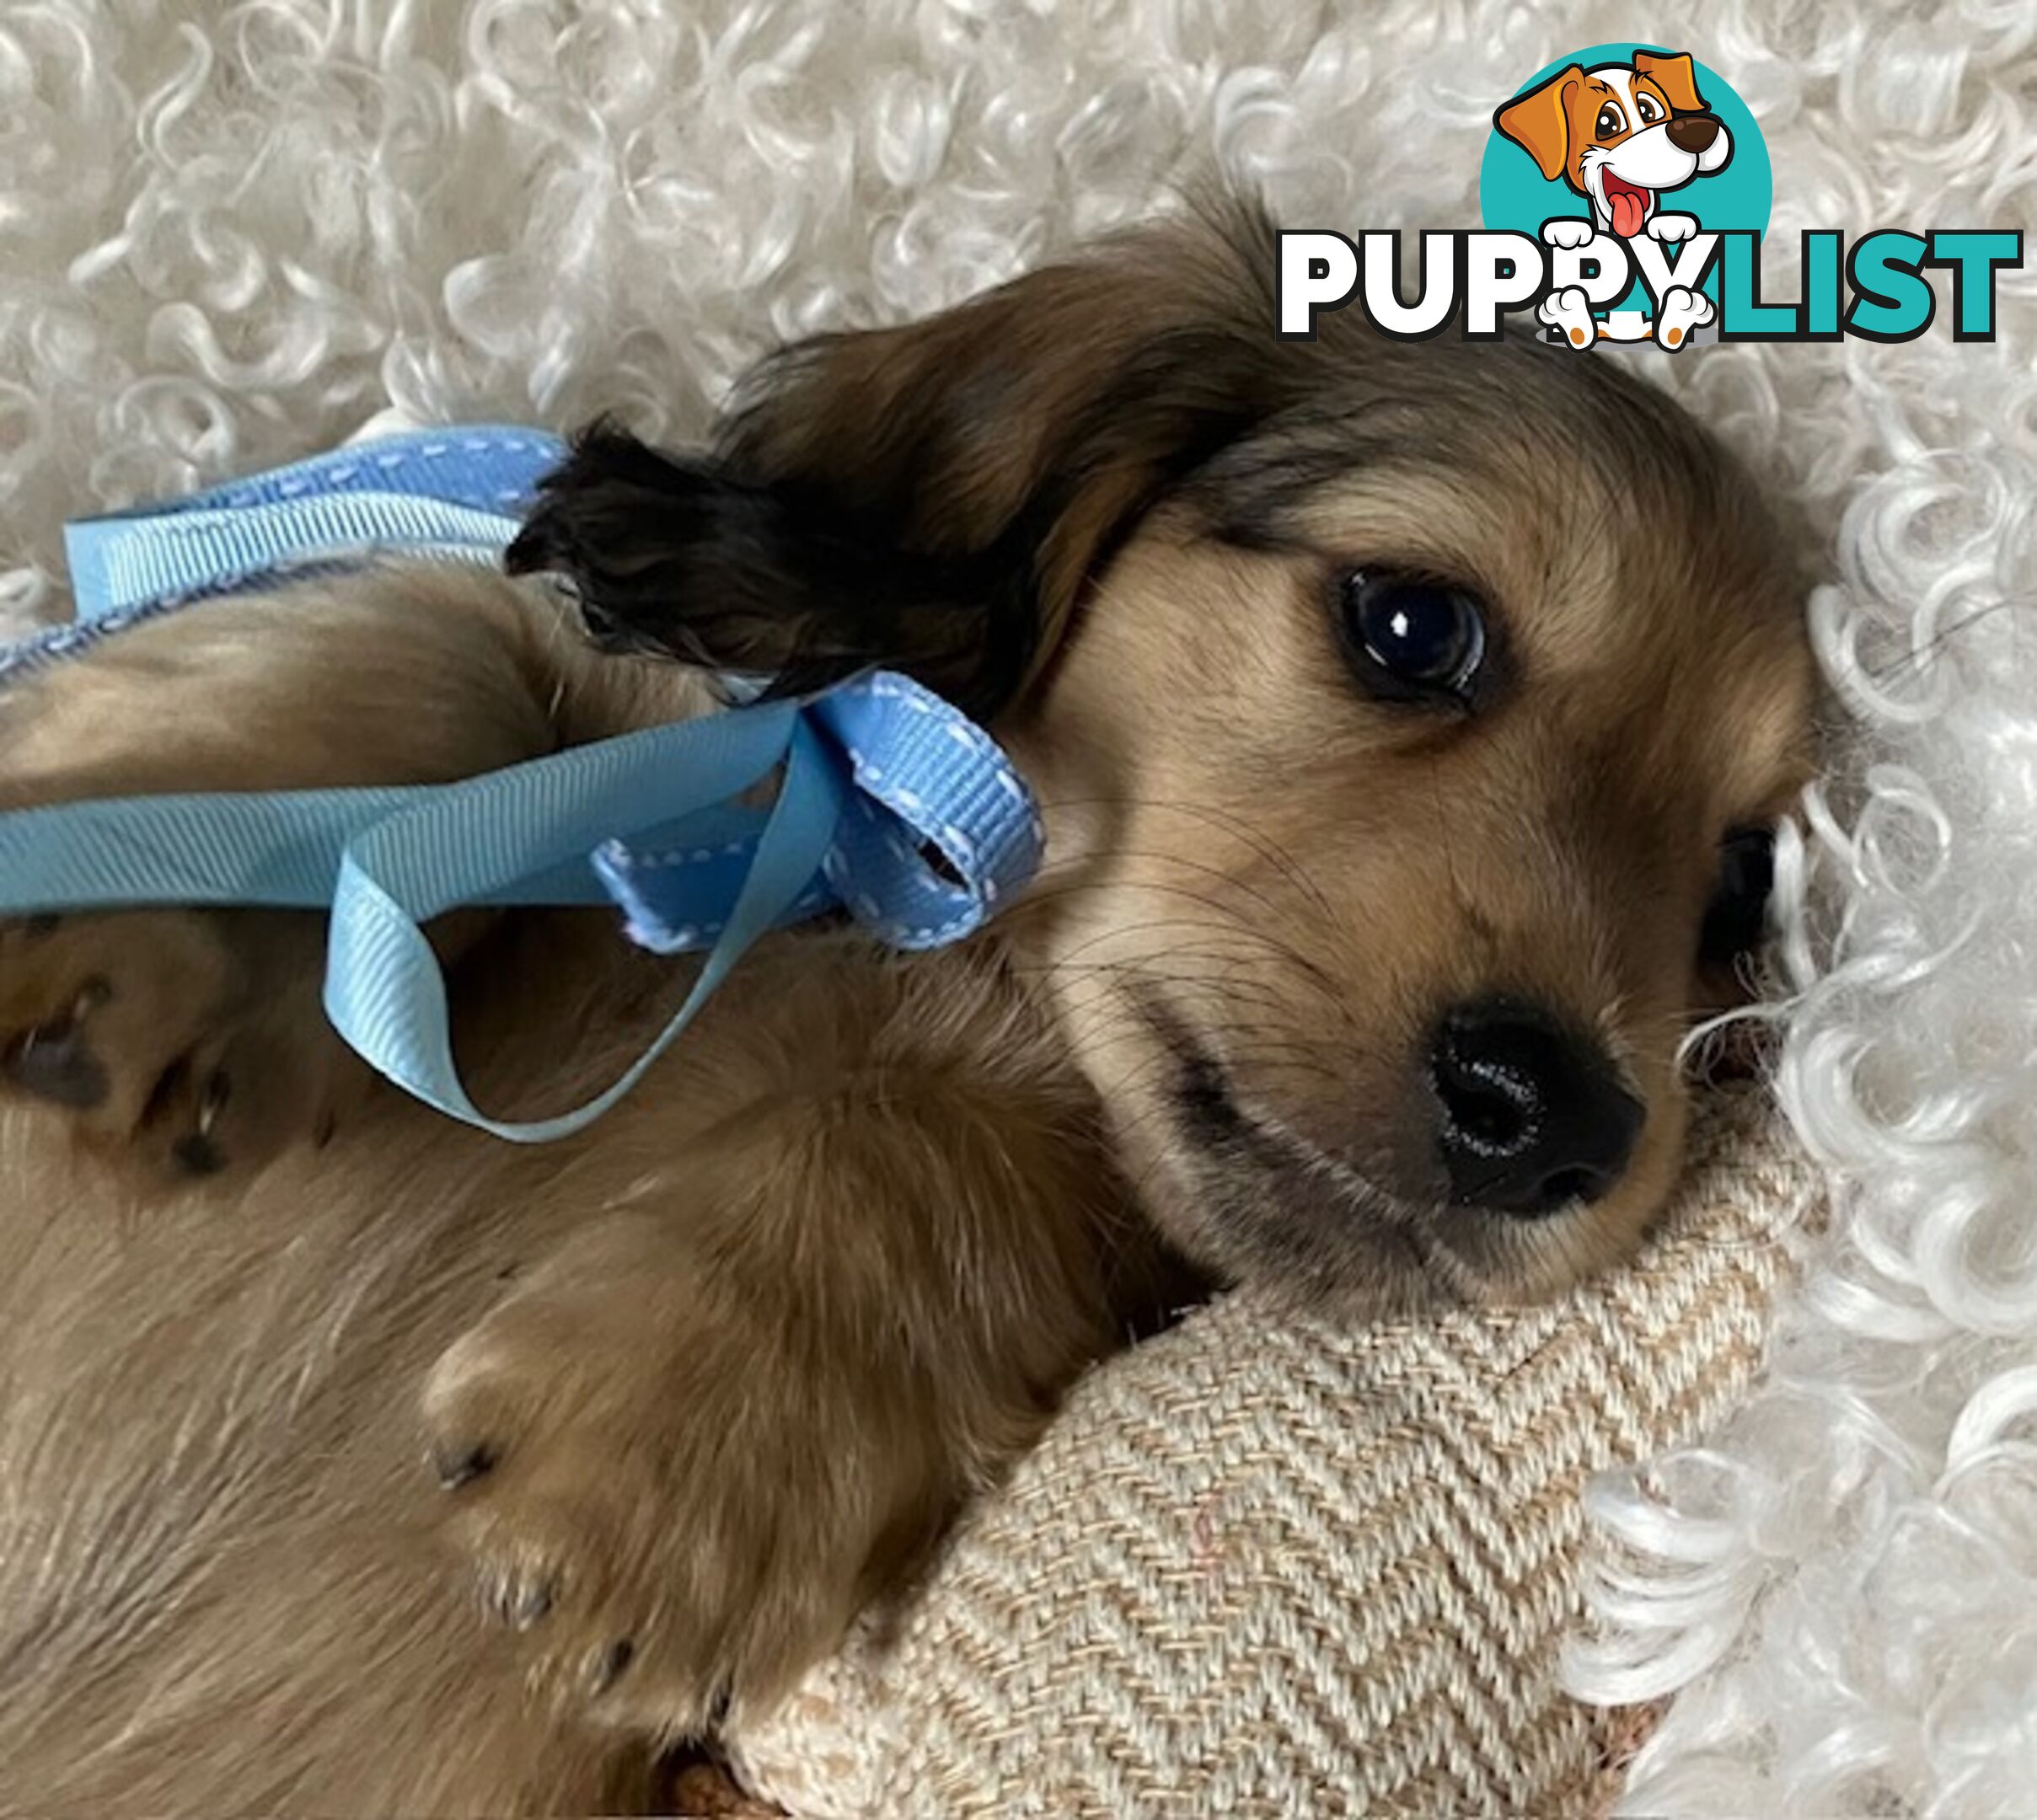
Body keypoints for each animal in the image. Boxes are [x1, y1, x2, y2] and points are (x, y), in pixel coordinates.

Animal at [0, 199, 1816, 1820]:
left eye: (1741, 883)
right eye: (1410, 625)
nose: (1557, 1119)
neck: (924, 956)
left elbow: (945, 1152)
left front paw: (659, 1456)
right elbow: (442, 657)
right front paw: (142, 910)